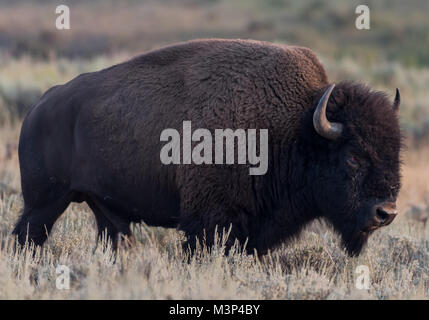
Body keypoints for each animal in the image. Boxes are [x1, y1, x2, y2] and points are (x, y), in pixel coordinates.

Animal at [13, 38, 402, 256]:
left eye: (395, 153)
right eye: (353, 157)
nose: (386, 213)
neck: (296, 127)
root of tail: (39, 106)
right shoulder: (208, 223)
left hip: (105, 212)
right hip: (44, 203)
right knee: (25, 239)